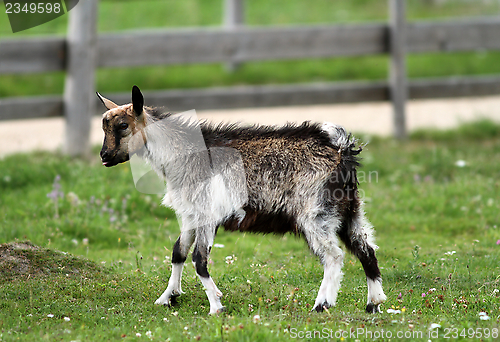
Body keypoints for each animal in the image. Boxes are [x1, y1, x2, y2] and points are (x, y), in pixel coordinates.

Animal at [96, 86, 386, 316]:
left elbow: (199, 259)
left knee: (334, 255)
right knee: (365, 249)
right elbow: (179, 251)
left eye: (123, 126)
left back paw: (322, 304)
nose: (104, 156)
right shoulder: (190, 213)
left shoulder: (207, 213)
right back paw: (374, 302)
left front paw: (216, 306)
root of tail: (340, 149)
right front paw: (167, 297)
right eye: (104, 126)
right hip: (350, 210)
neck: (180, 153)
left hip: (314, 214)